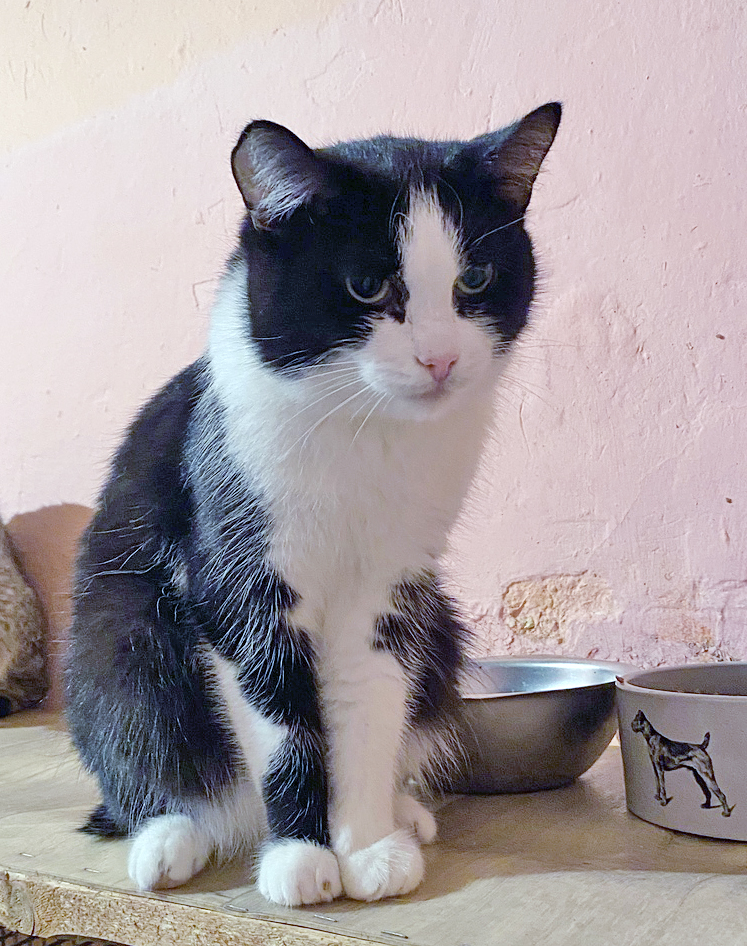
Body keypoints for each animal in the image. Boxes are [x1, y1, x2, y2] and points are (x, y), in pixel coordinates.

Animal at [65, 102, 561, 906]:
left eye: (476, 278)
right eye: (364, 287)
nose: (440, 359)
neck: (365, 430)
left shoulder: (392, 587)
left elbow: (368, 704)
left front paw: (366, 846)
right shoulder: (238, 578)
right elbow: (279, 721)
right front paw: (300, 855)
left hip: (441, 623)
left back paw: (403, 810)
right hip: (118, 640)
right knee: (147, 744)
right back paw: (171, 839)